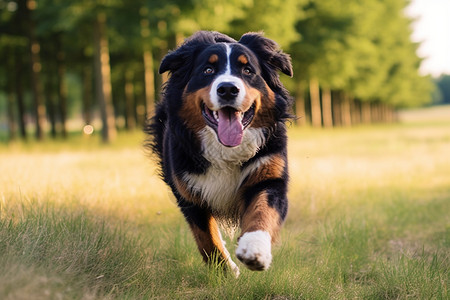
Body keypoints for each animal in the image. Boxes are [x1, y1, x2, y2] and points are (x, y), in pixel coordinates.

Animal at [146, 30, 294, 276]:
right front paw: (225, 270)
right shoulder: (188, 192)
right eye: (208, 70)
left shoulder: (268, 177)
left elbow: (262, 213)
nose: (227, 89)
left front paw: (255, 250)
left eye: (247, 70)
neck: (225, 150)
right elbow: (206, 236)